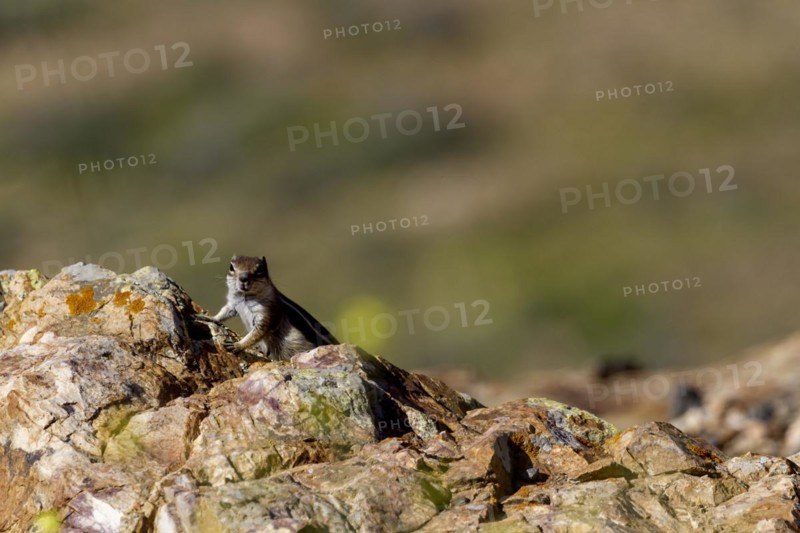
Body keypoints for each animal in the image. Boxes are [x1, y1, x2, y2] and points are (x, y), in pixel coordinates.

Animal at [198, 255, 338, 361]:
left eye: (259, 269)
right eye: (231, 267)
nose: (243, 278)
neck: (245, 297)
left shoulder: (266, 312)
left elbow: (257, 333)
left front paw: (237, 345)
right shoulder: (233, 304)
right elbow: (225, 312)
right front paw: (208, 317)